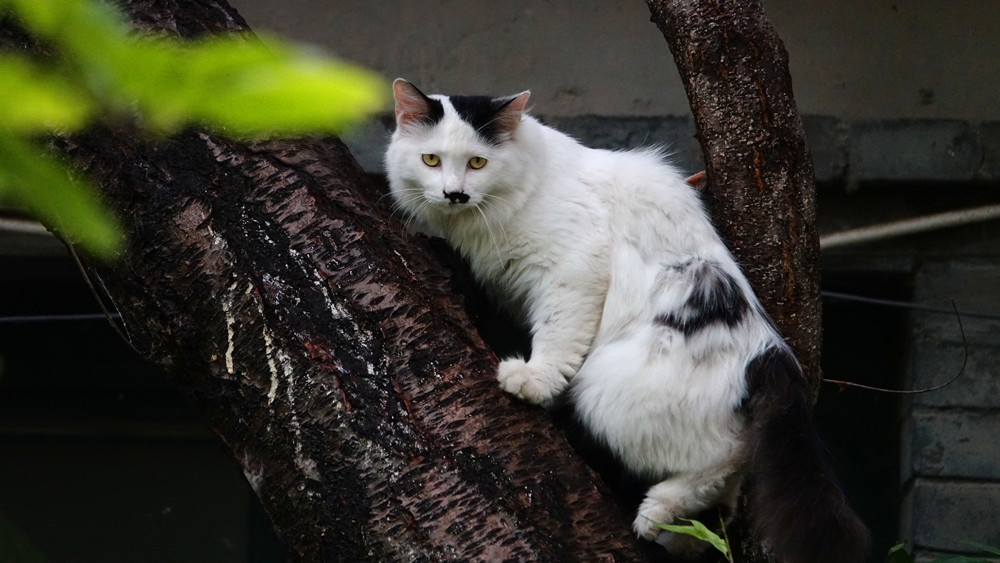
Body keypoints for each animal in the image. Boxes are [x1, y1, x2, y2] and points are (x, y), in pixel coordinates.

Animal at [386, 79, 872, 563]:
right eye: (431, 160)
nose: (454, 193)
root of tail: (770, 353)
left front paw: (534, 381)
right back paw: (678, 531)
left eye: (477, 162)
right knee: (730, 481)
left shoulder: (574, 270)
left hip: (605, 389)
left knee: (717, 463)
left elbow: (558, 336)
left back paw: (654, 514)